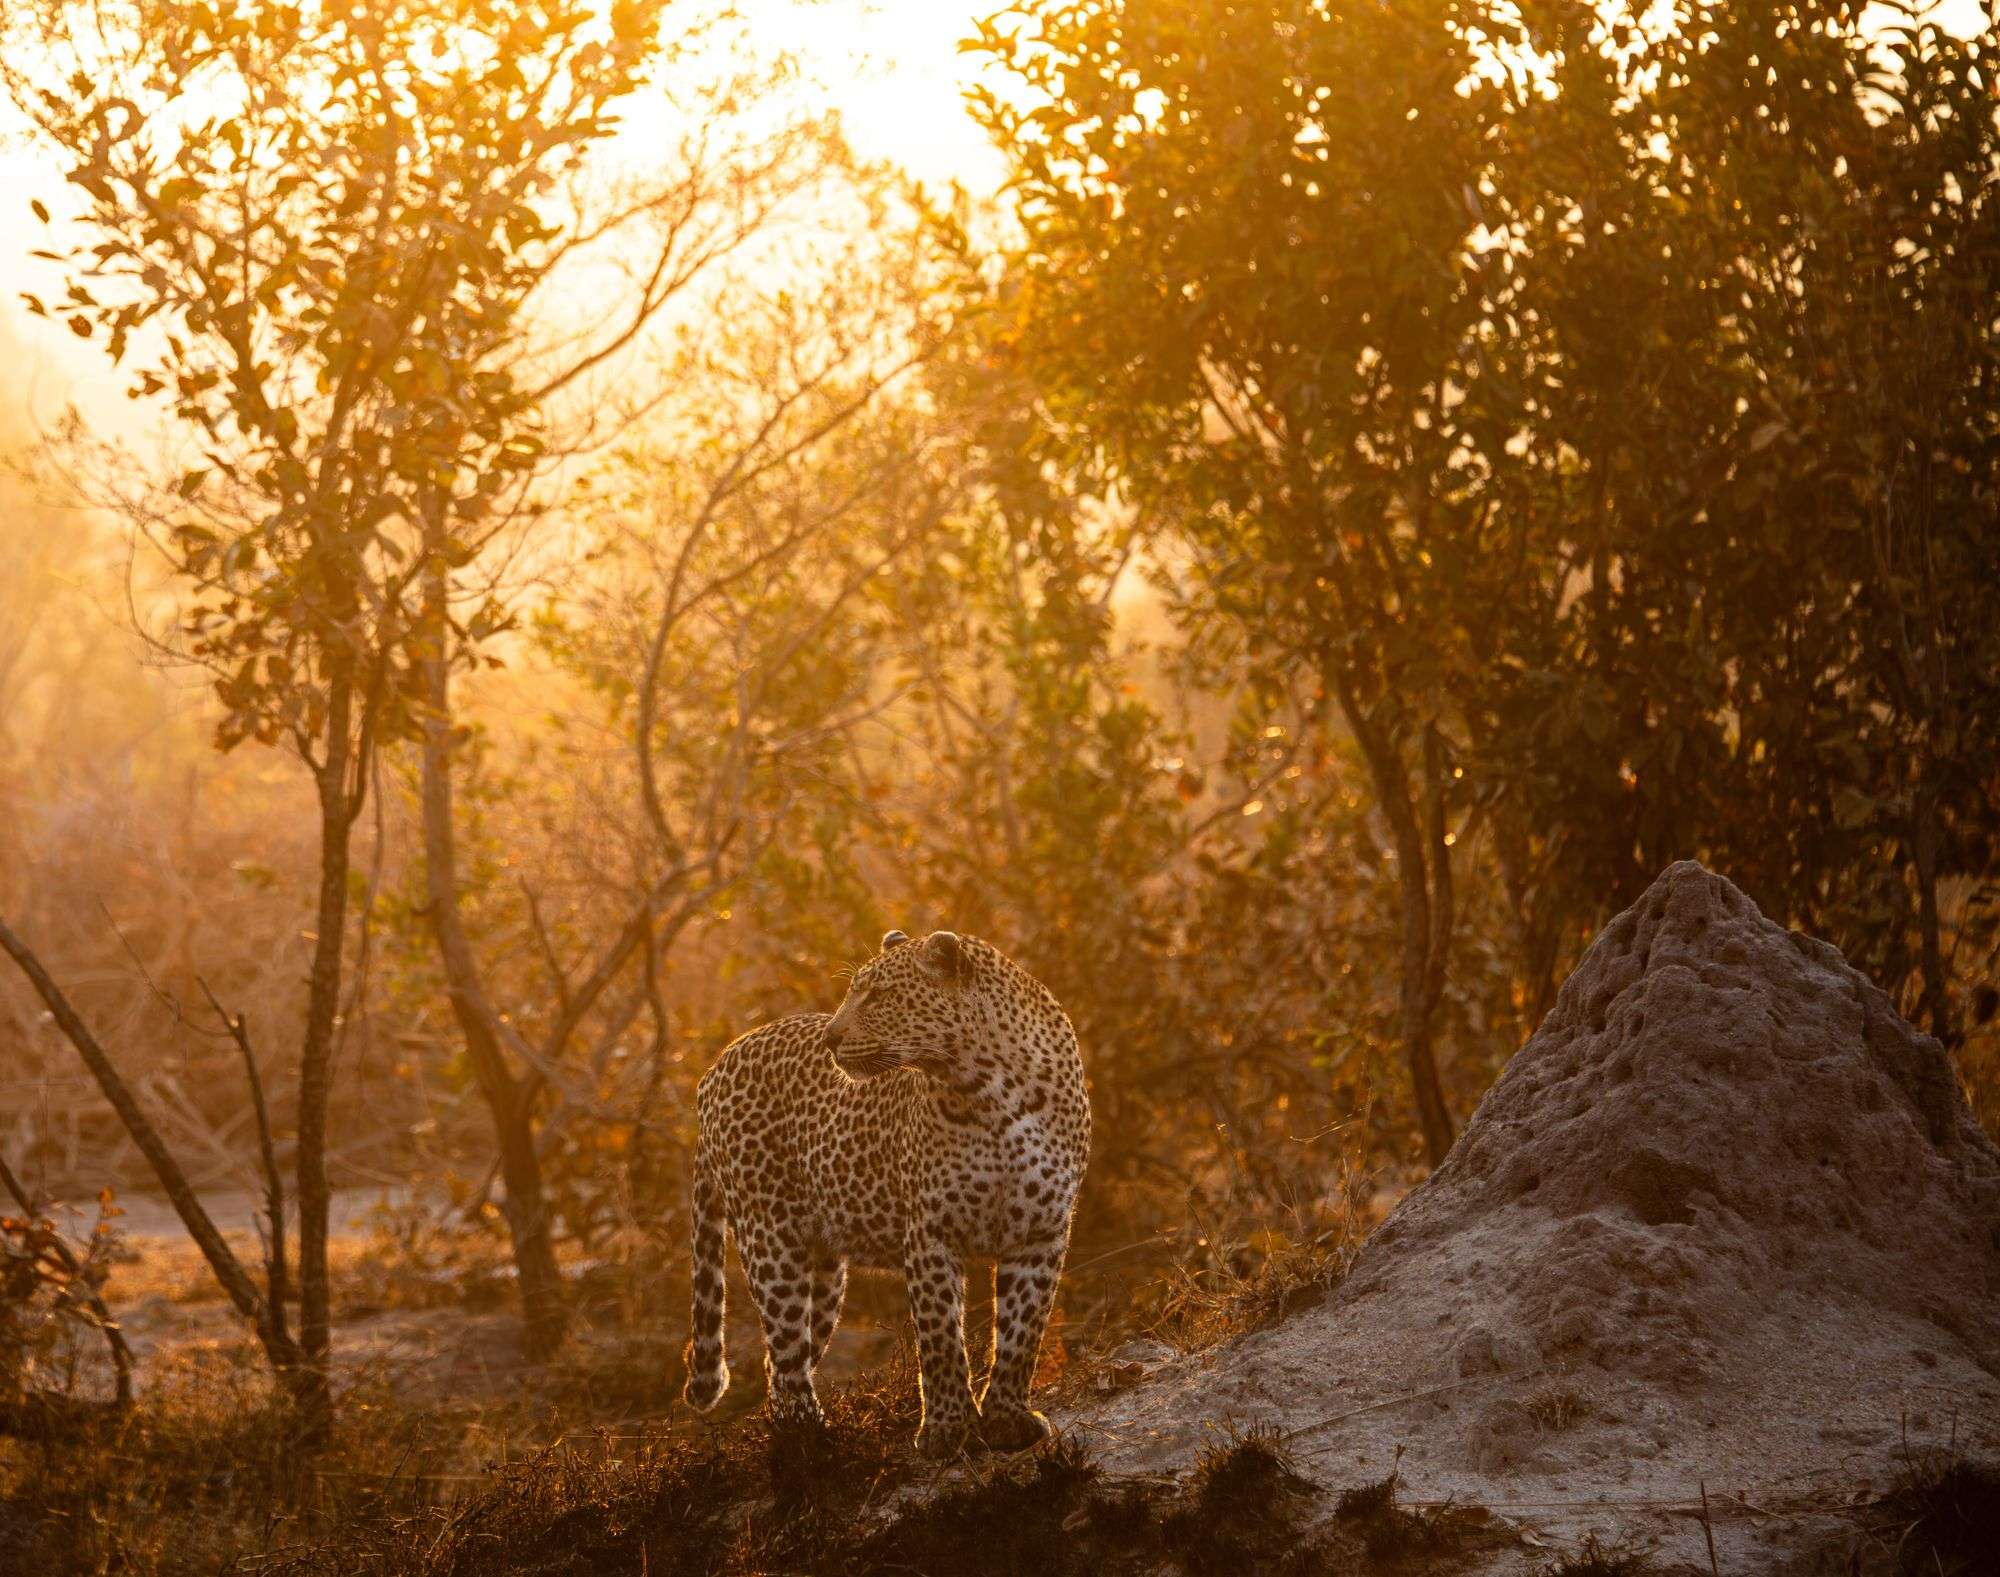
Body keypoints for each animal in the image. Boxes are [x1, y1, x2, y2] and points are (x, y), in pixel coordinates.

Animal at [681, 928, 1090, 1459]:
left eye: (878, 995)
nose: (830, 1040)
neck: (994, 1092)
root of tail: (712, 1069)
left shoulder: (1041, 1231)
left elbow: (1024, 1329)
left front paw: (1006, 1419)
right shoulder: (931, 1233)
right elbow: (940, 1337)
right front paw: (948, 1429)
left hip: (825, 1270)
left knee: (785, 1354)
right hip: (769, 1237)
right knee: (785, 1344)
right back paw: (810, 1436)